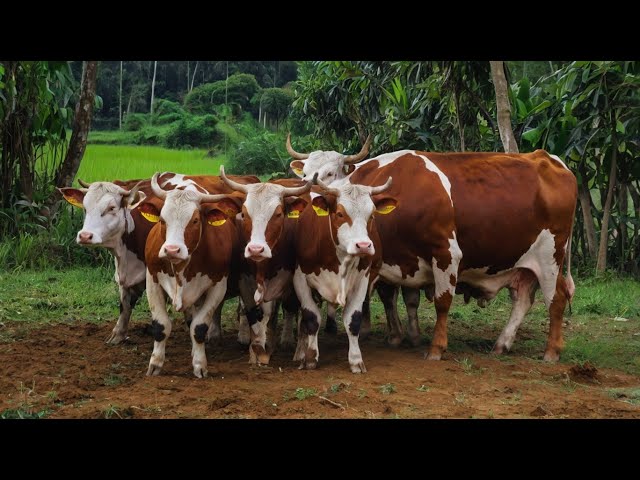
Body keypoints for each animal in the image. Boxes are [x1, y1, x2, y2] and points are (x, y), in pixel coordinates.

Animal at [57, 172, 258, 344]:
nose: (85, 236)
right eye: (85, 207)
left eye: (111, 208)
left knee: (242, 304)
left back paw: (242, 335)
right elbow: (125, 305)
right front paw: (117, 335)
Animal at [288, 137, 576, 362]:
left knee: (556, 299)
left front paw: (436, 348)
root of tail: (549, 159)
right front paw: (398, 336)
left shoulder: (447, 253)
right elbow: (391, 297)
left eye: (330, 173)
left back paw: (551, 352)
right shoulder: (390, 262)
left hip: (550, 258)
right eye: (304, 174)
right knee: (523, 300)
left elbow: (442, 301)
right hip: (523, 265)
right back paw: (502, 344)